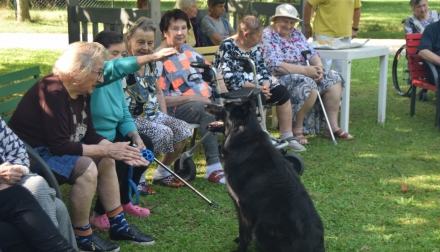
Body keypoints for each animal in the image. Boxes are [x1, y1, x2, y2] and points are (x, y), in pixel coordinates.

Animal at [205, 93, 324, 251]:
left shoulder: (242, 205)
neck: (244, 139)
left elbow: (244, 230)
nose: (205, 104)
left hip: (261, 228)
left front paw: (241, 248)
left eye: (224, 107)